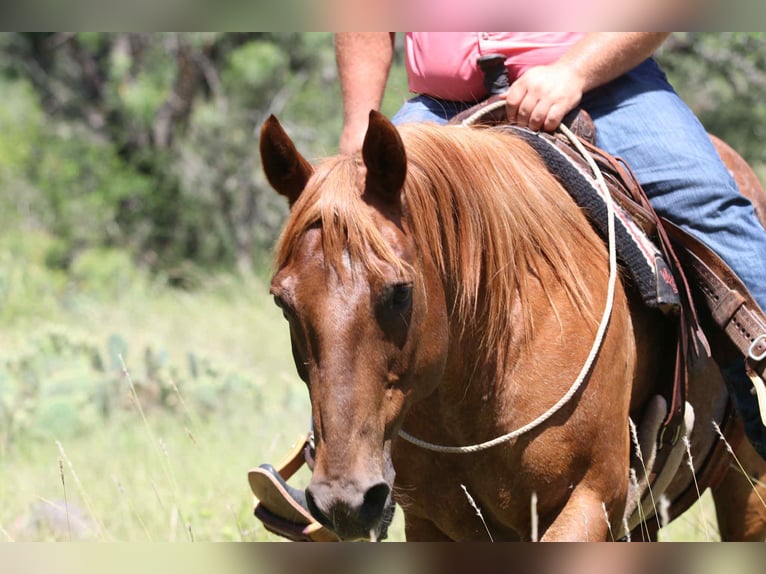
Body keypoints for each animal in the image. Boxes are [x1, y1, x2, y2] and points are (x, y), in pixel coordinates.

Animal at [259, 110, 766, 541]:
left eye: (400, 291)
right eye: (283, 302)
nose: (344, 502)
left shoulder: (589, 502)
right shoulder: (431, 524)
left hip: (748, 494)